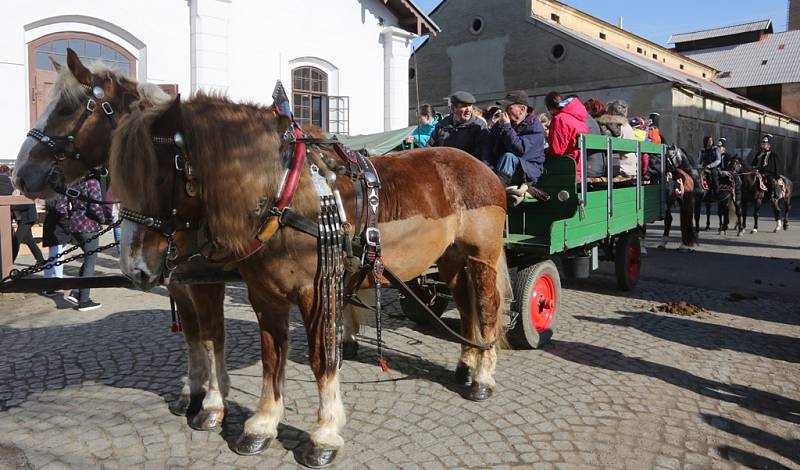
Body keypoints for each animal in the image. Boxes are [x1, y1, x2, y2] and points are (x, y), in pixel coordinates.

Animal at [109, 92, 510, 466]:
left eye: (160, 176)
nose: (134, 267)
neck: (284, 194)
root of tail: (480, 167)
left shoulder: (315, 292)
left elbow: (321, 358)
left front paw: (324, 434)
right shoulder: (263, 294)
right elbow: (269, 356)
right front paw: (261, 424)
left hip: (482, 257)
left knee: (487, 308)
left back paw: (483, 377)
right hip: (451, 259)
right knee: (465, 305)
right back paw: (466, 364)